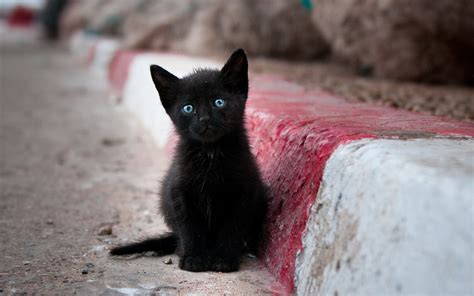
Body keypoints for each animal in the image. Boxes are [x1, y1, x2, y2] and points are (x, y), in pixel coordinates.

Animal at [109, 48, 268, 272]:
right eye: (188, 108)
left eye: (218, 102)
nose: (204, 119)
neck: (210, 153)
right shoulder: (179, 193)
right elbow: (189, 228)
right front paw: (194, 258)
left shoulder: (243, 193)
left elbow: (232, 228)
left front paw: (224, 259)